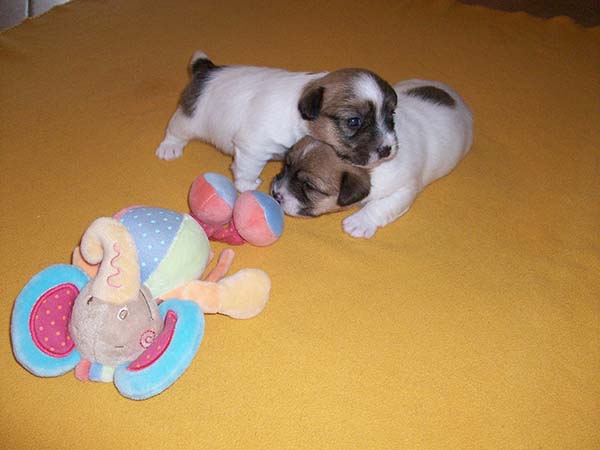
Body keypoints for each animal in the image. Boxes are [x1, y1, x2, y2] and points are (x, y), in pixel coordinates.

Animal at [155, 51, 398, 192]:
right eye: (354, 121)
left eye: (391, 115)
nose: (387, 150)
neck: (298, 116)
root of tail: (207, 69)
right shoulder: (252, 148)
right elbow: (247, 169)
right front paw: (247, 186)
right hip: (190, 118)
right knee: (175, 130)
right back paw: (169, 148)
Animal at [271, 79, 474, 238]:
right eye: (286, 166)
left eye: (309, 186)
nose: (275, 194)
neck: (369, 169)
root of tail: (455, 97)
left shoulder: (404, 189)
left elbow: (380, 205)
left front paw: (359, 222)